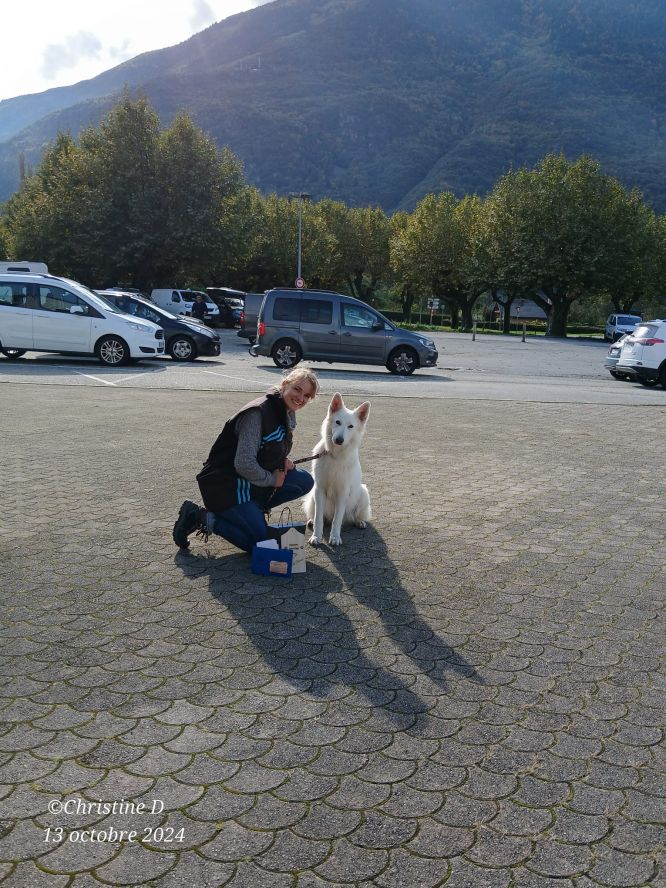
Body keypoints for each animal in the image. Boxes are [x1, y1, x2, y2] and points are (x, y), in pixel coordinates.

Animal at [304, 392, 370, 544]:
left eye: (350, 426)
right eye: (337, 422)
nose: (339, 440)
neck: (335, 455)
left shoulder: (343, 492)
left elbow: (337, 519)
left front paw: (335, 537)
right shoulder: (319, 489)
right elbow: (318, 518)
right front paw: (316, 536)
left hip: (363, 493)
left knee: (353, 516)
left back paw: (359, 522)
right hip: (312, 497)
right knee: (319, 516)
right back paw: (311, 521)